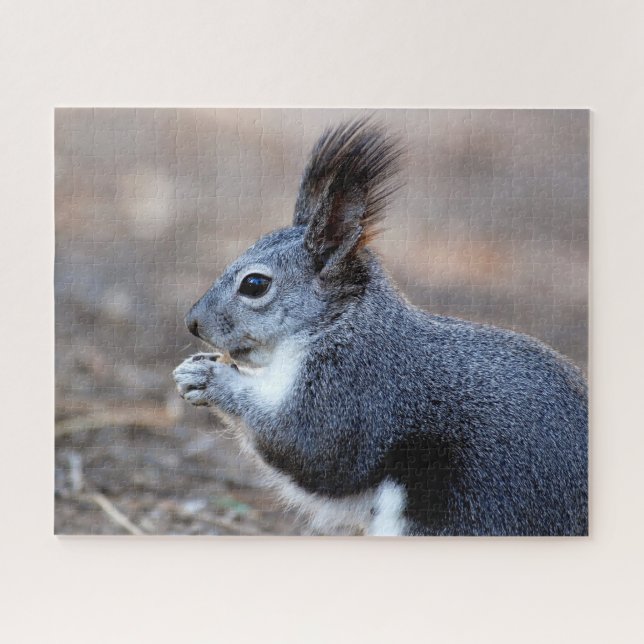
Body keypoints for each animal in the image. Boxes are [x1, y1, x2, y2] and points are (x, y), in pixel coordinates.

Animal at [173, 118, 588, 536]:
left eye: (255, 284)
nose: (193, 323)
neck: (338, 326)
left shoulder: (357, 390)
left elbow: (313, 449)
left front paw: (210, 379)